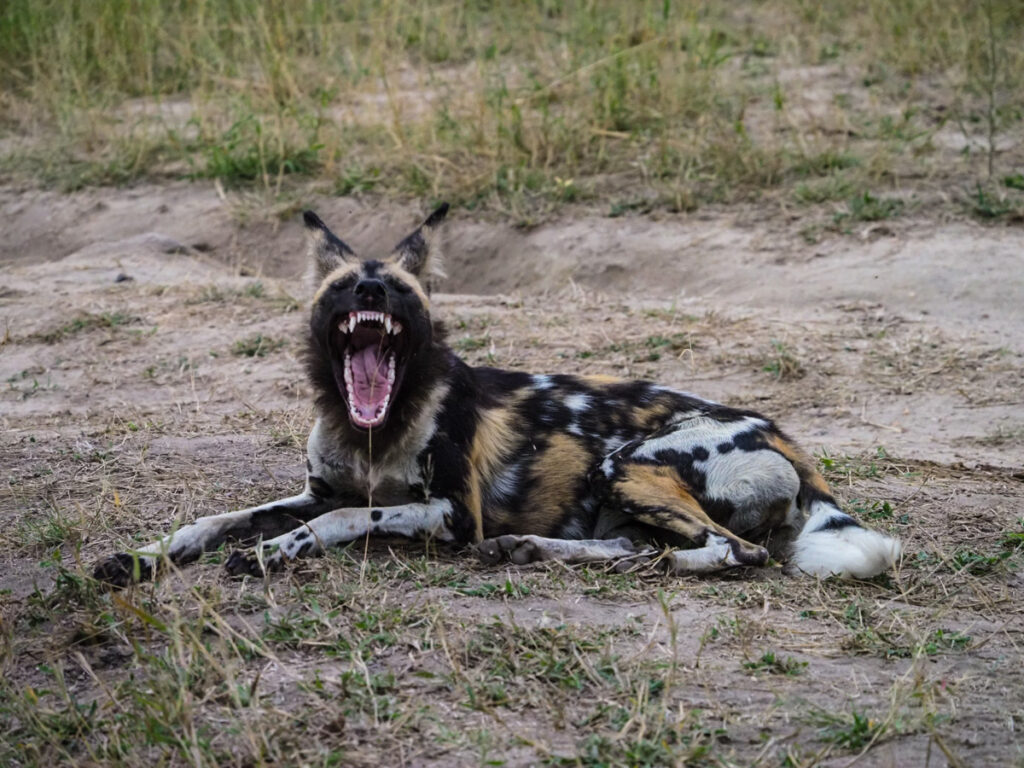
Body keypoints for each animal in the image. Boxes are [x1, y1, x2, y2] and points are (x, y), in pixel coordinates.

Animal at [92, 201, 901, 585]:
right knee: (645, 544)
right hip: (619, 489)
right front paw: (145, 556)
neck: (376, 429)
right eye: (341, 287)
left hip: (631, 463)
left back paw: (633, 565)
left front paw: (275, 552)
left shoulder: (450, 513)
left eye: (401, 291)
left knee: (733, 553)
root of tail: (783, 435)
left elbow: (342, 521)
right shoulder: (317, 491)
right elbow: (218, 518)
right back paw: (535, 550)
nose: (371, 288)